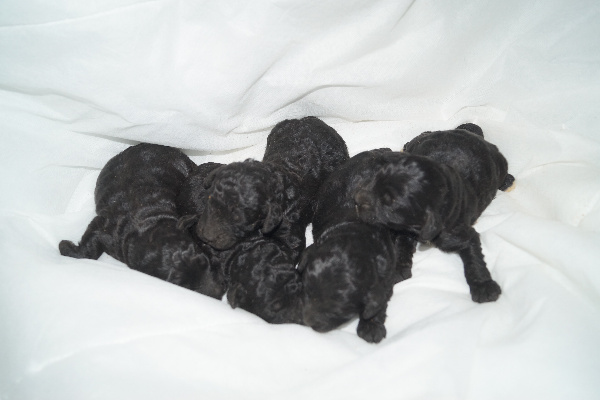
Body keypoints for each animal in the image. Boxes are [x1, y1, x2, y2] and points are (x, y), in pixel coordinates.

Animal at [59, 143, 226, 299]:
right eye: (184, 287)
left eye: (204, 261)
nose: (219, 291)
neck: (149, 224)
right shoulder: (106, 229)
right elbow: (90, 246)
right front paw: (65, 246)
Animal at [299, 149, 417, 343]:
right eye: (306, 291)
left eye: (337, 312)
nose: (308, 322)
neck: (355, 230)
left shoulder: (384, 279)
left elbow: (378, 304)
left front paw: (371, 327)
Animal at [354, 124, 515, 303]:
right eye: (375, 180)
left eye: (389, 202)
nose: (356, 200)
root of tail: (473, 134)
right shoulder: (404, 230)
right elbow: (402, 246)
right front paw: (398, 270)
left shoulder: (462, 234)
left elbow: (474, 260)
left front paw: (484, 287)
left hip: (501, 163)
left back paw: (507, 181)